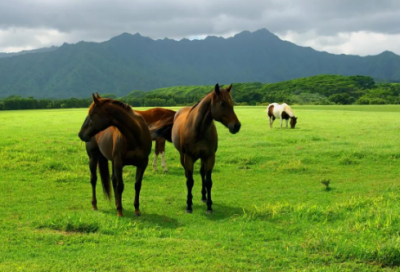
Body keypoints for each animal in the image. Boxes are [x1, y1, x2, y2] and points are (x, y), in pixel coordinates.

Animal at [151, 84, 241, 214]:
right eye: (222, 104)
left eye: (232, 103)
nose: (236, 126)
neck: (199, 129)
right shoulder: (188, 158)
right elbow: (190, 181)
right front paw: (189, 205)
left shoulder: (209, 157)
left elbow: (208, 181)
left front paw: (209, 206)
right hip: (183, 156)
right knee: (188, 175)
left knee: (202, 173)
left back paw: (203, 197)